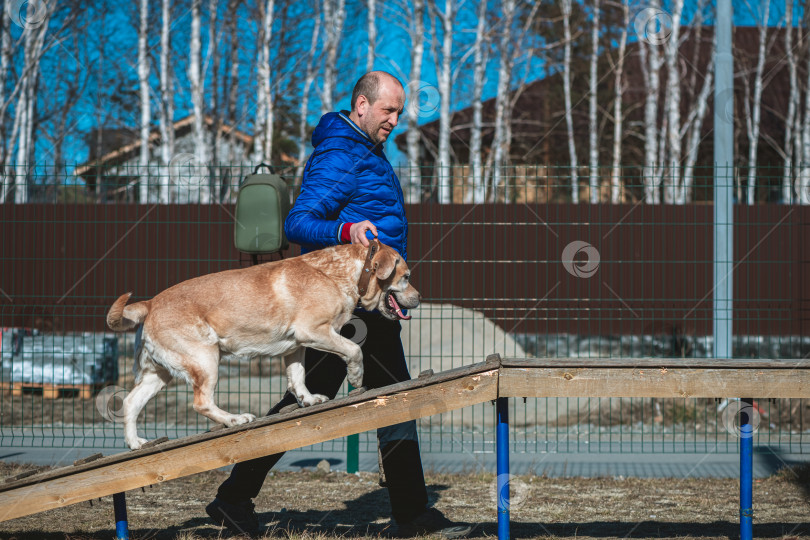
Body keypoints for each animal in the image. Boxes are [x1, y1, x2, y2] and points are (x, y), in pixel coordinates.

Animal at [105, 238, 416, 450]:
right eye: (407, 277)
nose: (419, 297)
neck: (340, 273)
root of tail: (150, 303)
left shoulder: (296, 346)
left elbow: (297, 377)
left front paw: (307, 399)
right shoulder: (314, 332)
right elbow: (354, 350)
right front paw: (356, 376)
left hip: (159, 374)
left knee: (131, 403)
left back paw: (136, 443)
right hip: (206, 360)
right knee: (201, 403)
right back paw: (235, 419)